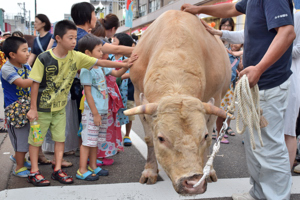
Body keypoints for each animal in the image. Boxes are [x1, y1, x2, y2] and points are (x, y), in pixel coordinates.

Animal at [123, 9, 230, 195]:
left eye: (204, 135)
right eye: (161, 138)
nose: (193, 182)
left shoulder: (215, 99)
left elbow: (211, 142)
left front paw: (208, 170)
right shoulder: (137, 96)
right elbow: (148, 138)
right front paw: (150, 171)